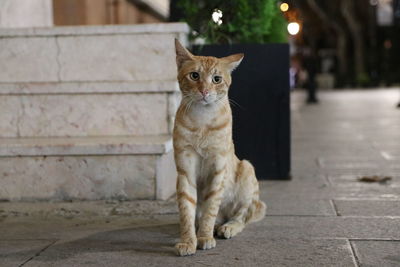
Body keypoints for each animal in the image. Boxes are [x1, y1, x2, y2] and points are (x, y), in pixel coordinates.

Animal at [173, 38, 264, 256]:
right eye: (194, 75)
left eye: (216, 79)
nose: (204, 91)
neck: (202, 121)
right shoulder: (185, 168)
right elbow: (187, 210)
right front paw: (188, 241)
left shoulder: (218, 167)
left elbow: (210, 207)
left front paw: (204, 237)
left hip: (247, 170)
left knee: (242, 216)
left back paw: (226, 227)